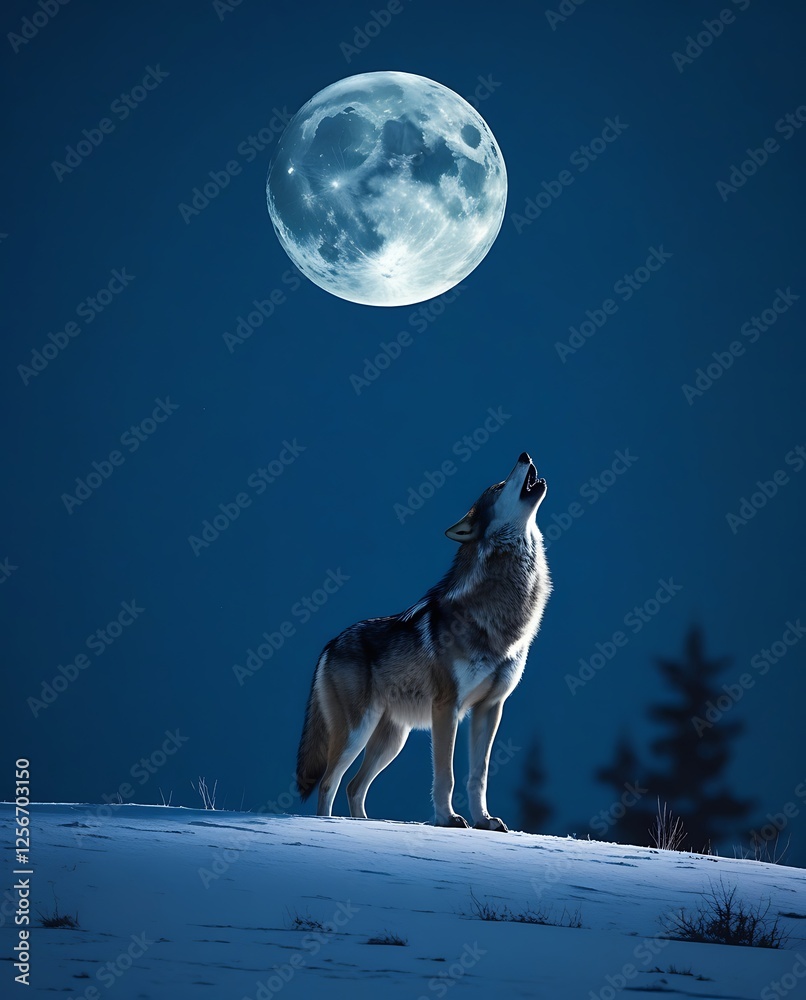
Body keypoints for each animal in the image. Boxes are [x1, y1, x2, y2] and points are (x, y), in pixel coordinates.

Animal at [296, 452, 551, 831]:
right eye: (498, 486)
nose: (524, 455)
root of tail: (330, 642)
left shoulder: (490, 708)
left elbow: (479, 775)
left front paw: (485, 820)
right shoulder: (447, 707)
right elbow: (446, 774)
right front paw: (448, 819)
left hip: (392, 740)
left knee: (355, 786)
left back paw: (366, 825)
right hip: (358, 732)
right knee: (330, 782)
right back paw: (330, 827)